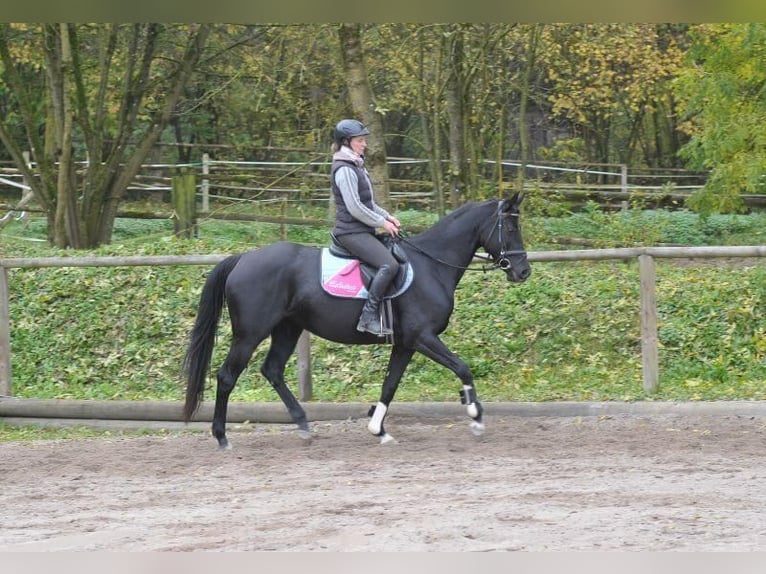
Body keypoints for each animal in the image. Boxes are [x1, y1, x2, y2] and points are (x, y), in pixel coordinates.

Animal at [184, 196, 536, 448]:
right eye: (511, 228)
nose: (523, 272)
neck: (431, 266)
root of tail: (243, 258)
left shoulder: (406, 344)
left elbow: (390, 385)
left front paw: (378, 429)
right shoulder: (423, 337)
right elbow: (462, 367)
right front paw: (475, 415)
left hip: (288, 328)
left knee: (272, 370)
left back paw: (303, 425)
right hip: (250, 333)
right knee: (227, 376)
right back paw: (222, 437)